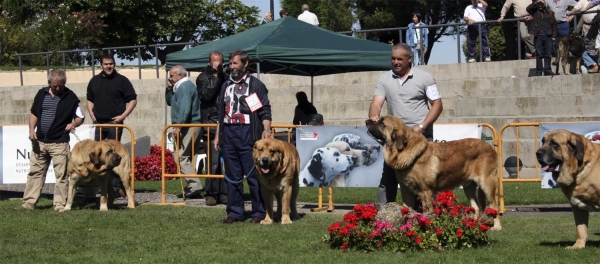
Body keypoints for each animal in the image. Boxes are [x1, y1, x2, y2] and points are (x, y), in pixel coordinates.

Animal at [366, 116, 502, 230]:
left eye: (382, 123)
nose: (367, 121)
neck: (403, 150)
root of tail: (489, 146)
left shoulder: (426, 192)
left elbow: (427, 213)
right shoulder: (406, 191)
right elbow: (406, 209)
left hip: (486, 184)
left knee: (494, 206)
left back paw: (496, 227)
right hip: (469, 187)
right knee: (476, 207)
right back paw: (472, 224)